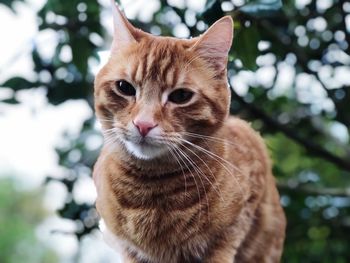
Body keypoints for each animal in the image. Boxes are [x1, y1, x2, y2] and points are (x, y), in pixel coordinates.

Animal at [92, 1, 284, 262]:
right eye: (125, 87)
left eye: (181, 96)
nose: (143, 124)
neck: (151, 191)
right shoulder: (128, 249)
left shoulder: (233, 229)